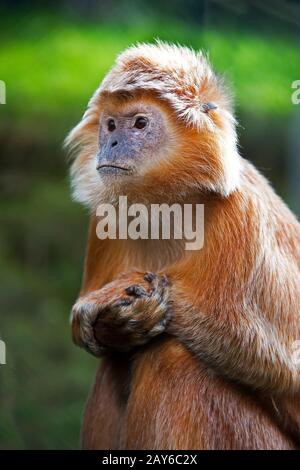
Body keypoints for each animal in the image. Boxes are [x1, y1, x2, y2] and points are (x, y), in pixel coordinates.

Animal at [66, 42, 300, 450]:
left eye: (139, 124)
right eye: (111, 125)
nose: (111, 143)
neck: (170, 203)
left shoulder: (241, 216)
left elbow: (284, 370)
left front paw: (116, 298)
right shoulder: (105, 218)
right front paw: (108, 320)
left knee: (172, 354)